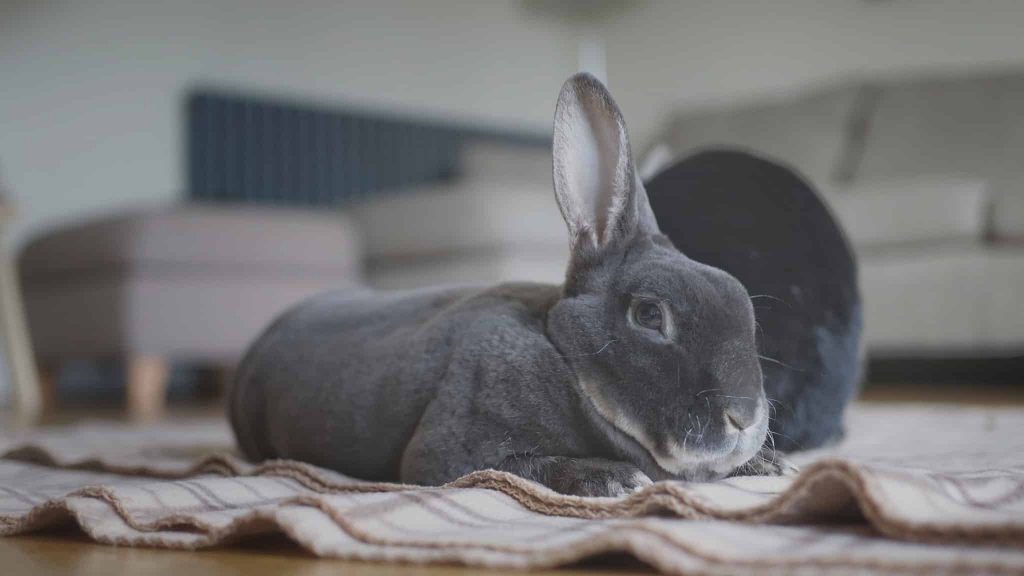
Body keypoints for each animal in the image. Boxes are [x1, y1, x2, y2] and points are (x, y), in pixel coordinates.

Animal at [230, 72, 774, 494]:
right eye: (648, 314)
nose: (744, 418)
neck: (567, 361)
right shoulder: (454, 449)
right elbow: (518, 467)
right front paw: (613, 478)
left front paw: (766, 466)